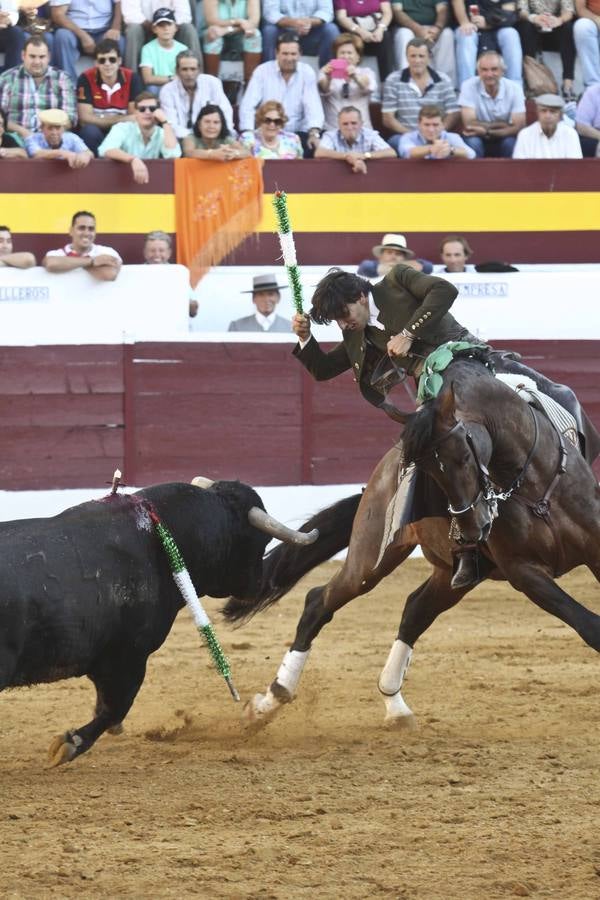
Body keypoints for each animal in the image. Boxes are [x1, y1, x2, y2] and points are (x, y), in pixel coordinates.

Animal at [0, 478, 316, 768]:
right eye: (260, 541)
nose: (263, 582)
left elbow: (109, 709)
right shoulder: (128, 658)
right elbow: (114, 710)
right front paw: (69, 744)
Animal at [224, 358, 600, 732]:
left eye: (465, 455)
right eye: (428, 474)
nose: (473, 527)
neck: (534, 486)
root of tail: (378, 477)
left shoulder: (592, 550)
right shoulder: (524, 572)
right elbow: (588, 625)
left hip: (453, 574)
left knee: (415, 610)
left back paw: (395, 707)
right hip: (371, 558)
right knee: (320, 601)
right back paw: (270, 701)